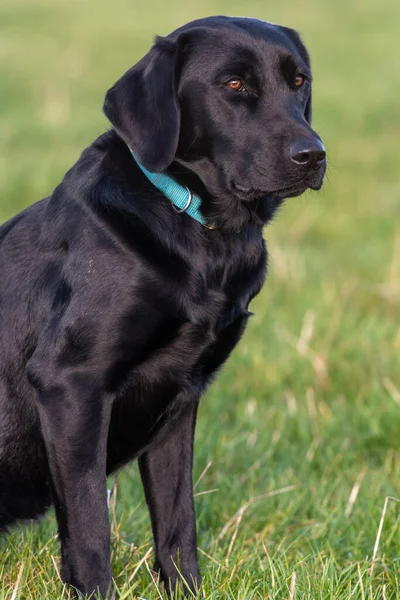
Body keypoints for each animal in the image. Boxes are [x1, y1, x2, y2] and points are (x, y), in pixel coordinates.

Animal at [0, 15, 324, 600]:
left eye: (299, 81)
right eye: (234, 84)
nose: (313, 154)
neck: (201, 231)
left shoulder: (180, 395)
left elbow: (178, 524)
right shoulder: (70, 385)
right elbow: (90, 529)